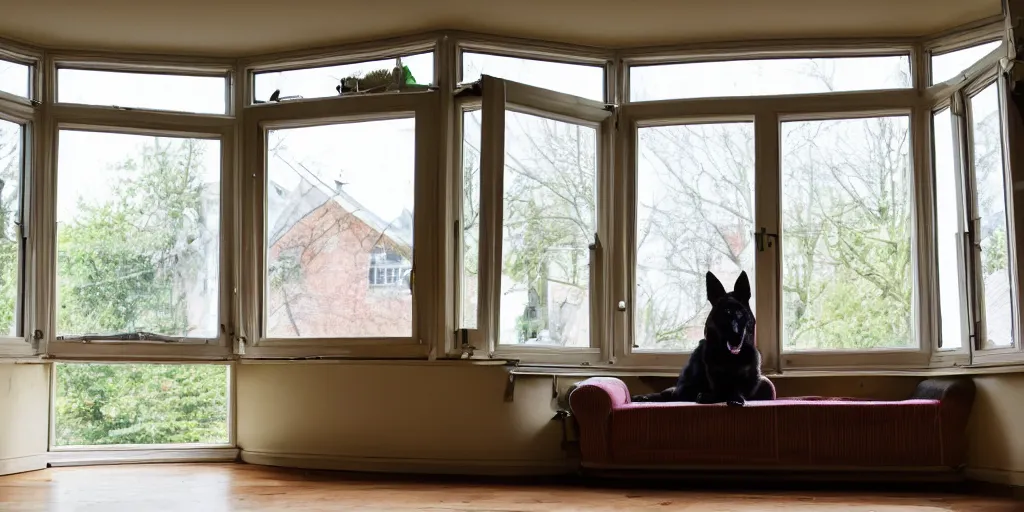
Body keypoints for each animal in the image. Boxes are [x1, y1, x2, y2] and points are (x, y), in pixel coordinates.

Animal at [626, 270, 770, 405]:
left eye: (740, 313)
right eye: (725, 314)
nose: (735, 337)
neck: (729, 357)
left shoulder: (748, 379)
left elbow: (737, 389)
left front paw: (735, 398)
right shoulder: (713, 375)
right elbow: (719, 390)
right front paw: (709, 396)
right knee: (672, 394)